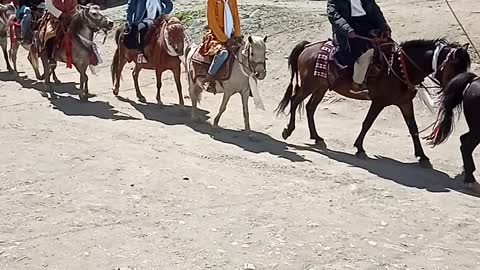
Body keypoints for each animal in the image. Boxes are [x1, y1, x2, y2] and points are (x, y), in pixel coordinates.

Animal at [276, 38, 470, 168]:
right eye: (456, 66)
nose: (458, 88)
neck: (400, 67)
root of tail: (308, 46)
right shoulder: (379, 102)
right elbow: (367, 123)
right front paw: (359, 148)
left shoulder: (405, 103)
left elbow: (413, 128)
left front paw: (423, 157)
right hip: (309, 85)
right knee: (295, 101)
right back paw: (288, 130)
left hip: (321, 87)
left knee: (310, 108)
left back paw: (317, 137)